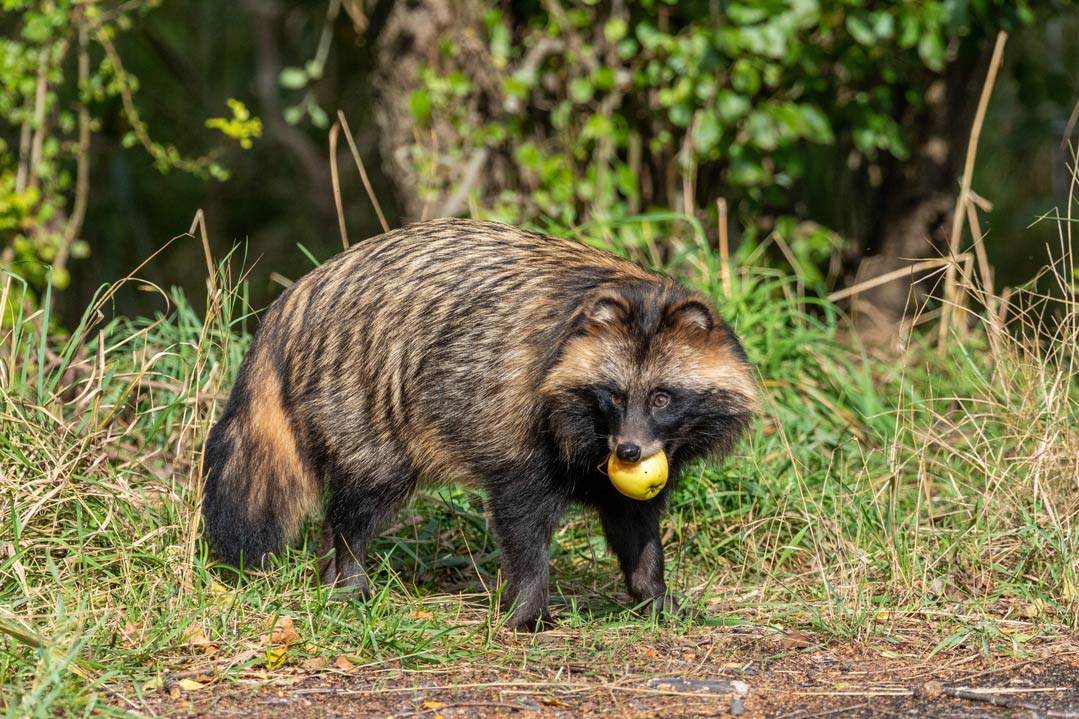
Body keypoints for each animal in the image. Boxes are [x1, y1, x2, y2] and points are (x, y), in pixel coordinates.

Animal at [203, 216, 759, 626]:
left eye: (662, 398)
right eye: (614, 395)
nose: (628, 453)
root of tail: (296, 298)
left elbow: (635, 520)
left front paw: (653, 592)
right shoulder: (520, 422)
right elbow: (522, 522)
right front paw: (528, 609)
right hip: (362, 394)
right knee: (361, 500)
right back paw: (347, 574)